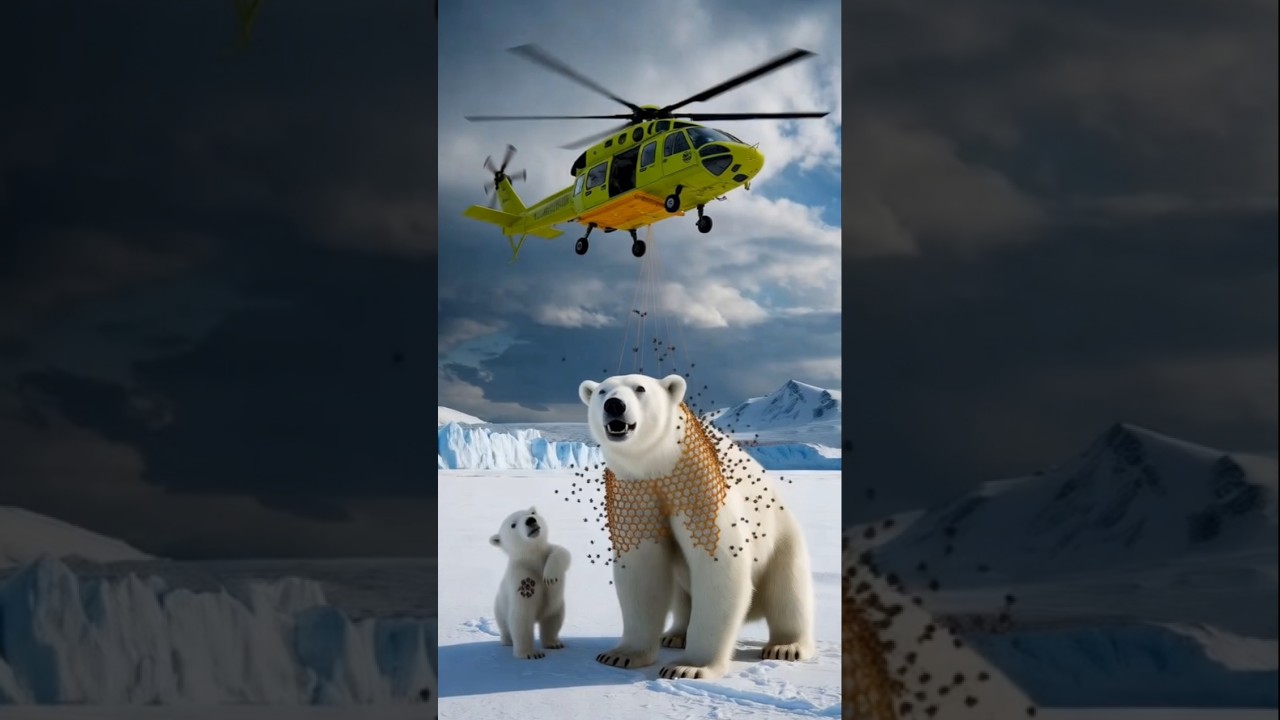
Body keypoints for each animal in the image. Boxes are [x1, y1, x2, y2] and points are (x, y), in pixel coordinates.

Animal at [490, 506, 571, 659]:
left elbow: (562, 553)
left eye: (531, 513)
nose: (530, 520)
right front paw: (530, 654)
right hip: (499, 608)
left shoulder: (546, 552)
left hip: (558, 606)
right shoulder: (521, 574)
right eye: (513, 524)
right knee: (505, 626)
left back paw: (554, 642)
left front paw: (550, 577)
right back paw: (507, 641)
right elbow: (522, 616)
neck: (532, 555)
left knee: (554, 618)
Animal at [578, 373, 815, 680]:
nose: (615, 405)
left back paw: (787, 646)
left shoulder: (699, 488)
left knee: (789, 592)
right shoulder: (637, 491)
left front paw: (689, 667)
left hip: (783, 542)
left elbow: (719, 563)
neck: (659, 465)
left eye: (640, 388)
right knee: (681, 597)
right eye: (602, 391)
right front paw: (620, 655)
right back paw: (675, 635)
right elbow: (642, 569)